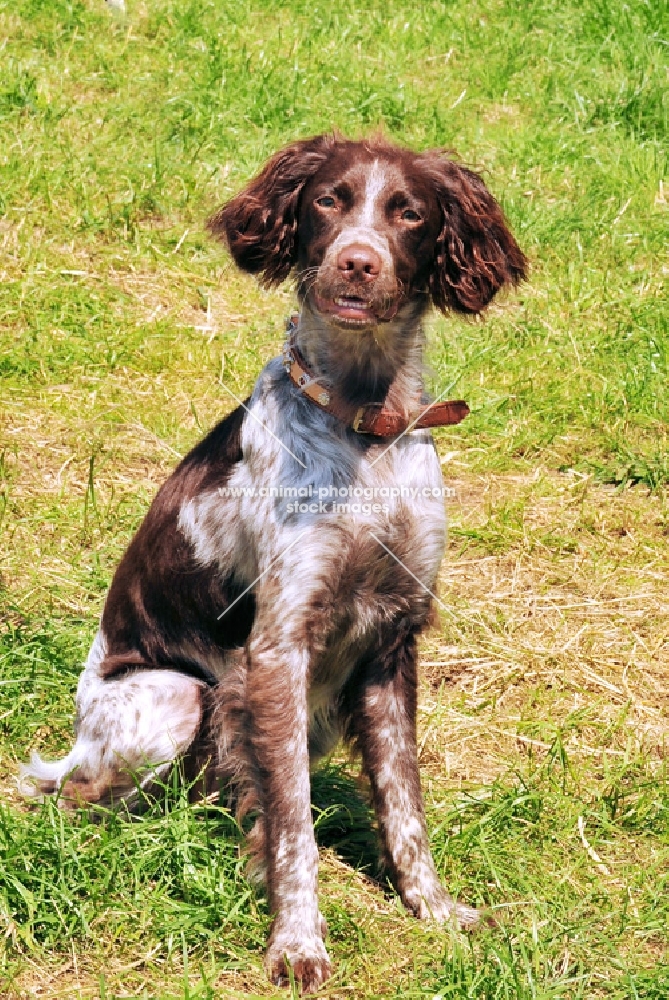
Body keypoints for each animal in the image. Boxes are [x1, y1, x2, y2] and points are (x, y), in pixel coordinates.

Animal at [22, 137, 528, 996]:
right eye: (328, 200)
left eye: (409, 213)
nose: (357, 263)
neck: (365, 430)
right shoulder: (278, 647)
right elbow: (293, 823)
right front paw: (296, 942)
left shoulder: (393, 638)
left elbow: (404, 804)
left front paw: (434, 910)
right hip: (172, 697)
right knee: (85, 795)